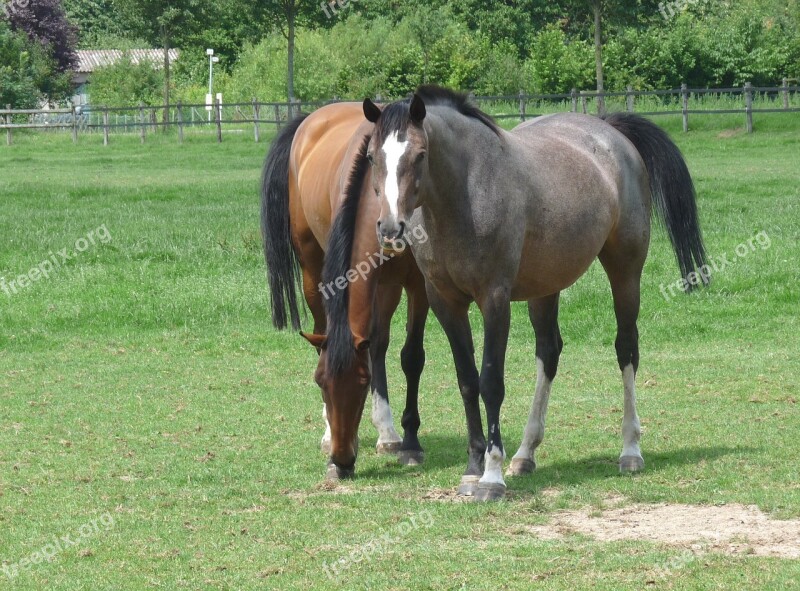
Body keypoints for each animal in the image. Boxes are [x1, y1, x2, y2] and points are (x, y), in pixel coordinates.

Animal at [260, 103, 428, 480]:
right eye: (320, 382)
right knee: (325, 333)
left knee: (377, 344)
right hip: (312, 271)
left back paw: (387, 433)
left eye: (363, 384)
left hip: (387, 287)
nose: (341, 461)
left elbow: (411, 357)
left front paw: (409, 442)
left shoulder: (418, 284)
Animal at [362, 86, 708, 504]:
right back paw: (525, 454)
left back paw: (630, 450)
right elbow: (467, 381)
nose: (390, 227)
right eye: (372, 156)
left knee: (626, 349)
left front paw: (492, 477)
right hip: (545, 288)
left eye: (420, 154)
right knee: (549, 352)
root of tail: (610, 131)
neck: (467, 193)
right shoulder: (445, 301)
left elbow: (491, 383)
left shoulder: (494, 301)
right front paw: (473, 469)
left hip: (625, 272)